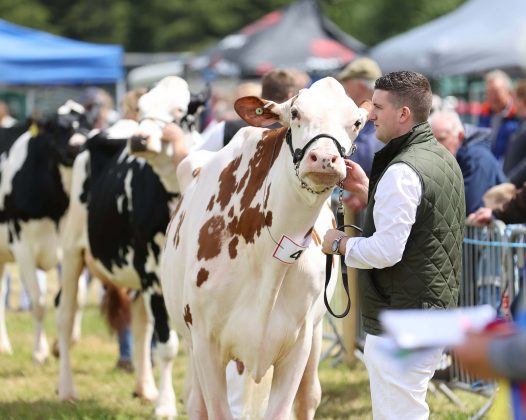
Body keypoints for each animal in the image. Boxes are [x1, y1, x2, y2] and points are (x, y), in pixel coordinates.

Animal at [0, 102, 98, 364]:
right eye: (55, 128)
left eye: (88, 123)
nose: (78, 144)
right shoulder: (22, 246)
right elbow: (38, 301)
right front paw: (40, 351)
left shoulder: (69, 246)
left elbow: (77, 297)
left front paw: (64, 344)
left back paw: (3, 345)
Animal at [56, 76, 199, 416]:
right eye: (143, 108)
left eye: (179, 110)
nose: (139, 138)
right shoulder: (151, 273)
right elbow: (167, 345)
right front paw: (166, 407)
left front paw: (189, 399)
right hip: (72, 251)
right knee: (66, 319)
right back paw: (67, 390)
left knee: (140, 323)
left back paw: (144, 387)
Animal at [161, 77, 372, 418]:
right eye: (295, 112)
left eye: (356, 122)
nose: (325, 159)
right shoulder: (205, 342)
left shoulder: (298, 344)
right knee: (195, 402)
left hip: (315, 336)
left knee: (309, 396)